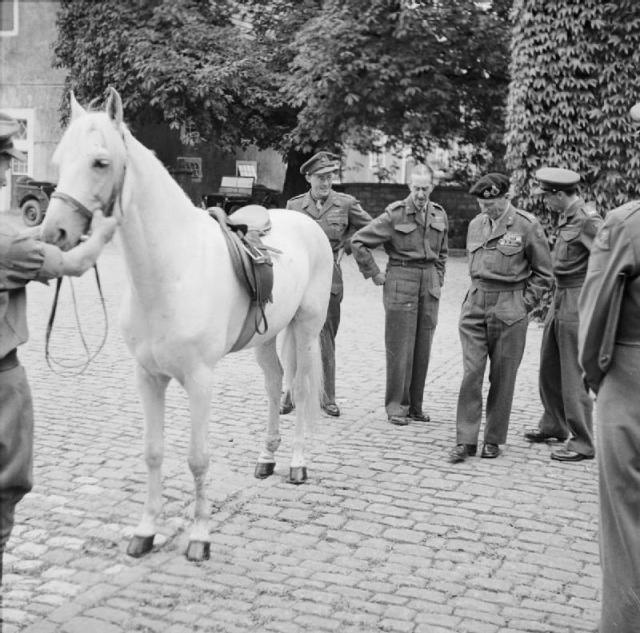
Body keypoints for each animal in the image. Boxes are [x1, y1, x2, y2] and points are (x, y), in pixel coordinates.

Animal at [40, 88, 333, 561]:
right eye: (59, 160)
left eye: (100, 162)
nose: (54, 233)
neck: (169, 271)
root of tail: (308, 223)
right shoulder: (147, 377)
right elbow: (153, 452)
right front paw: (145, 533)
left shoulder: (199, 379)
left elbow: (198, 458)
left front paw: (199, 538)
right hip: (267, 337)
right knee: (274, 385)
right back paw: (266, 459)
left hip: (306, 331)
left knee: (304, 392)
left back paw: (297, 464)